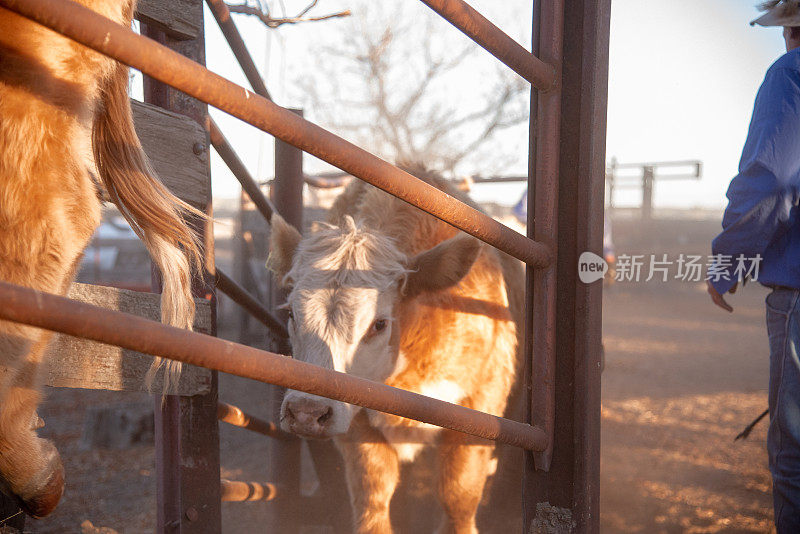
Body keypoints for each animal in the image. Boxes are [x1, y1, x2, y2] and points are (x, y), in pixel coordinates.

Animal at [266, 172, 520, 534]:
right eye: (291, 314)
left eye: (379, 324)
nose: (306, 412)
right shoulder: (356, 420)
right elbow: (373, 490)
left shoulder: (482, 404)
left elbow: (458, 494)